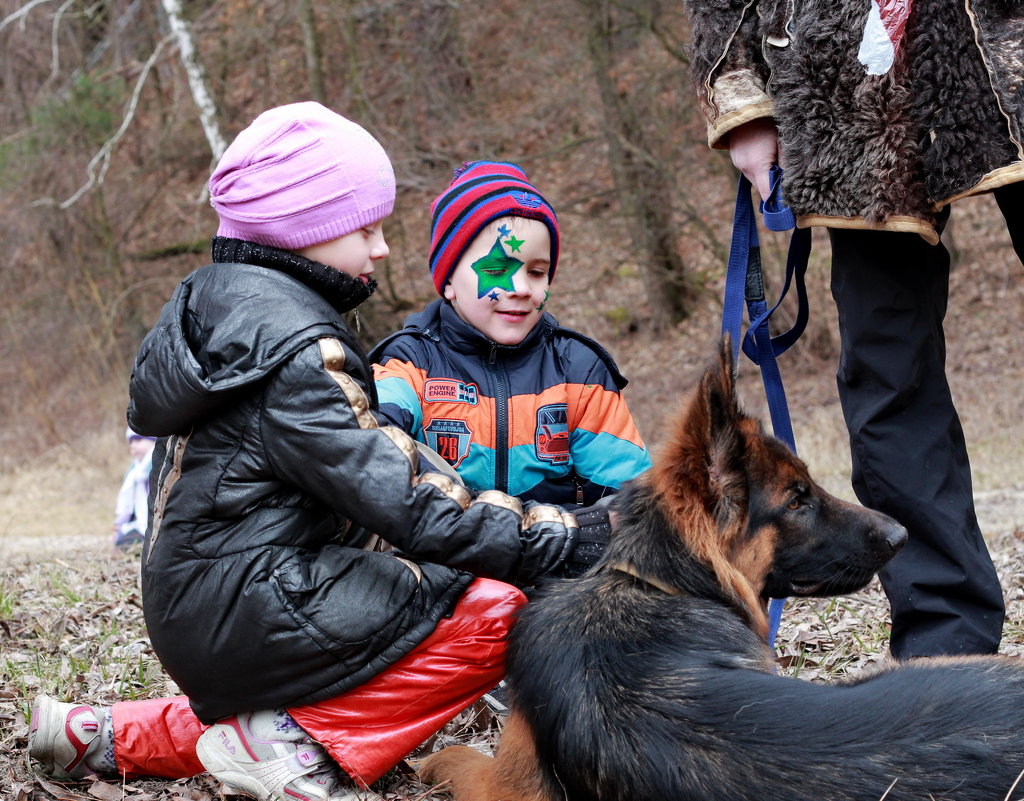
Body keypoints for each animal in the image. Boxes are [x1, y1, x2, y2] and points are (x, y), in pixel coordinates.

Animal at [417, 344, 1024, 801]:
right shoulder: (506, 783)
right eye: (797, 499)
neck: (652, 582)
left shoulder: (505, 780)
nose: (902, 535)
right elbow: (458, 756)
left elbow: (458, 756)